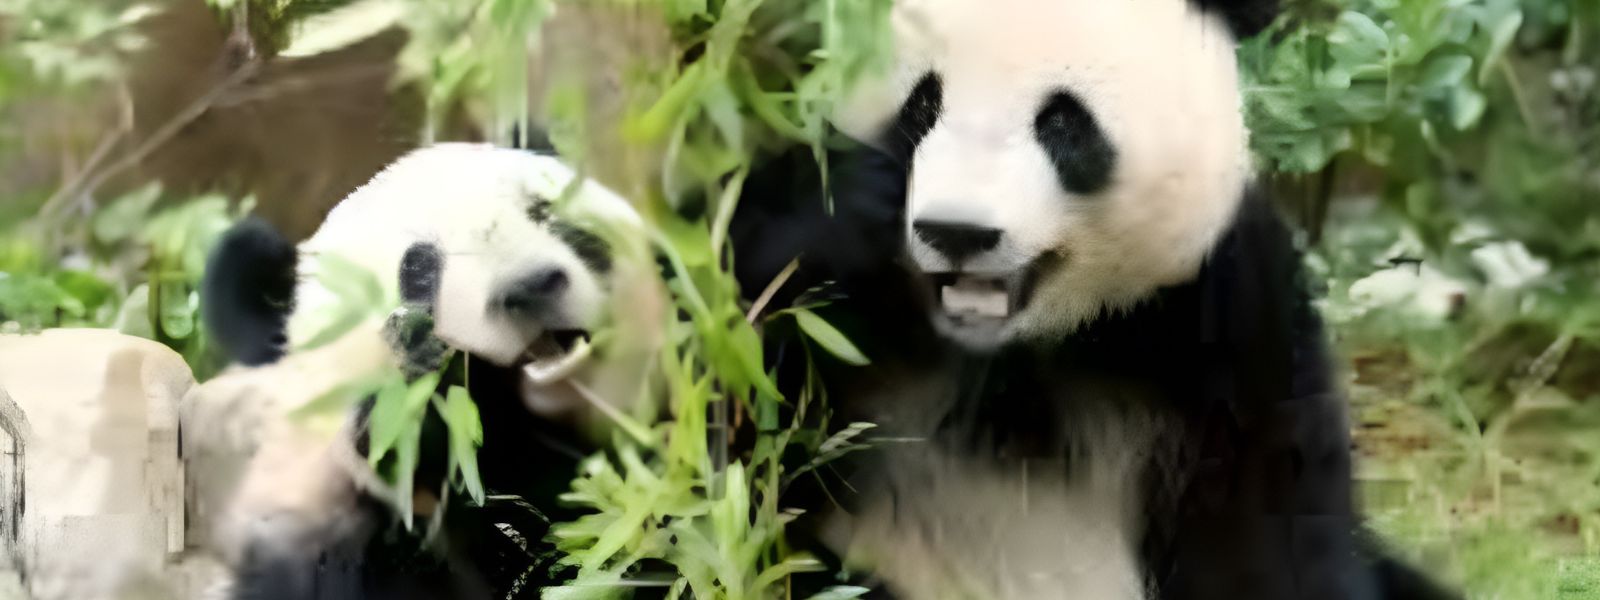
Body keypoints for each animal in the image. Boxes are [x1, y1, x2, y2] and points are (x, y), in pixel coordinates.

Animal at [727, 0, 1461, 598]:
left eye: (1062, 123)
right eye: (922, 106)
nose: (957, 232)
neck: (1002, 354)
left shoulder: (1220, 314)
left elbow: (1267, 526)